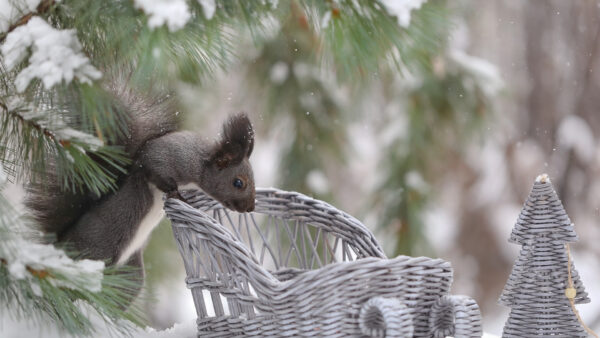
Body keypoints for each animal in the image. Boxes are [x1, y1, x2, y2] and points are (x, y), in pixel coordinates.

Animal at [24, 74, 254, 302]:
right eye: (238, 182)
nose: (250, 207)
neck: (200, 161)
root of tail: (60, 245)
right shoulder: (165, 157)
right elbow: (155, 172)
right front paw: (176, 194)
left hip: (131, 275)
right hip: (98, 249)